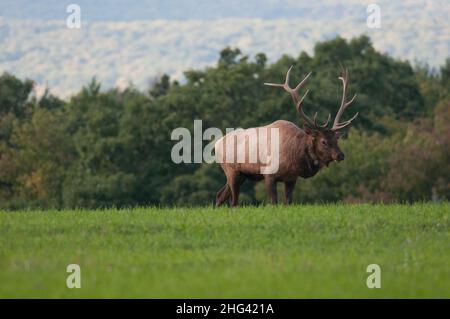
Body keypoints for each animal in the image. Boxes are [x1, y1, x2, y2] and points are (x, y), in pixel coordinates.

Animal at [214, 66, 358, 209]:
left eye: (336, 139)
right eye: (323, 142)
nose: (340, 155)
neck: (295, 156)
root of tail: (216, 144)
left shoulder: (291, 178)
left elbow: (288, 202)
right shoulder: (269, 173)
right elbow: (273, 202)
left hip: (242, 175)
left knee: (220, 195)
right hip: (231, 170)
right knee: (233, 202)